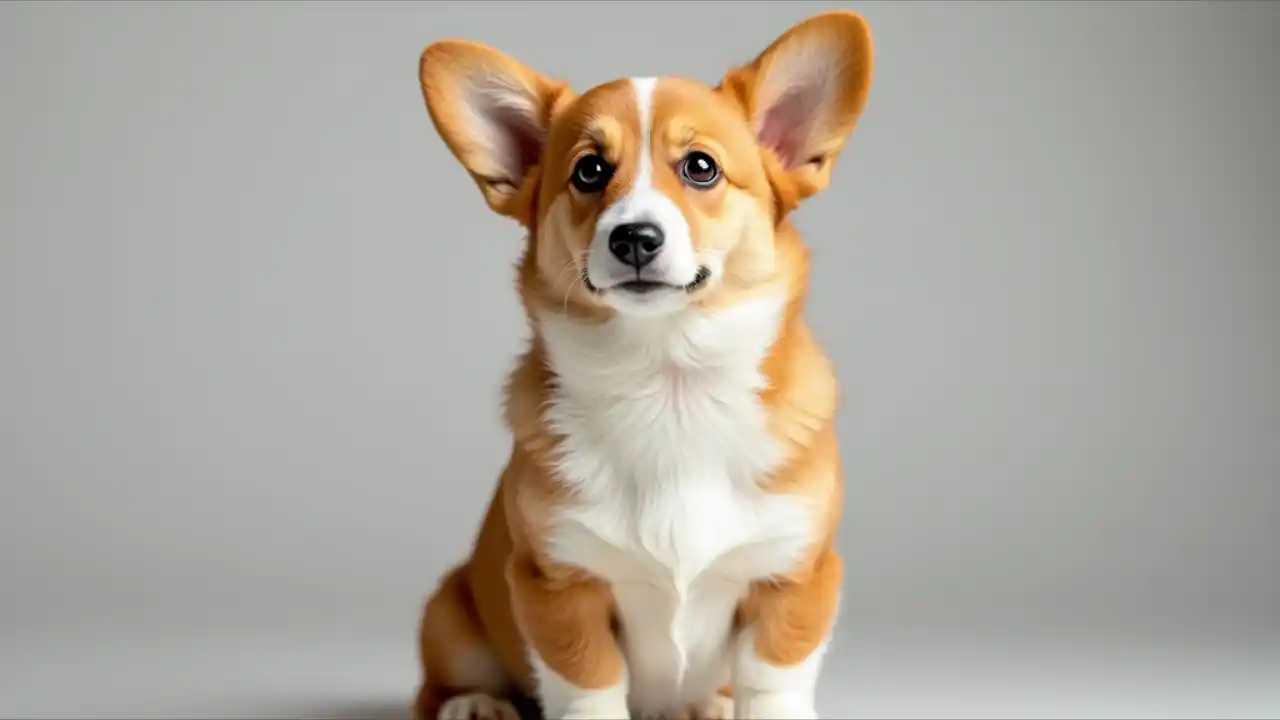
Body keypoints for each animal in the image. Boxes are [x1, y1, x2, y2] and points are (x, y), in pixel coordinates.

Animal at [414, 11, 875, 717]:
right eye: (589, 171)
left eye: (701, 168)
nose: (634, 237)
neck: (668, 382)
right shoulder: (556, 584)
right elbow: (589, 683)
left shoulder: (794, 577)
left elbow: (771, 680)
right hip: (449, 610)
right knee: (439, 682)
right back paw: (475, 704)